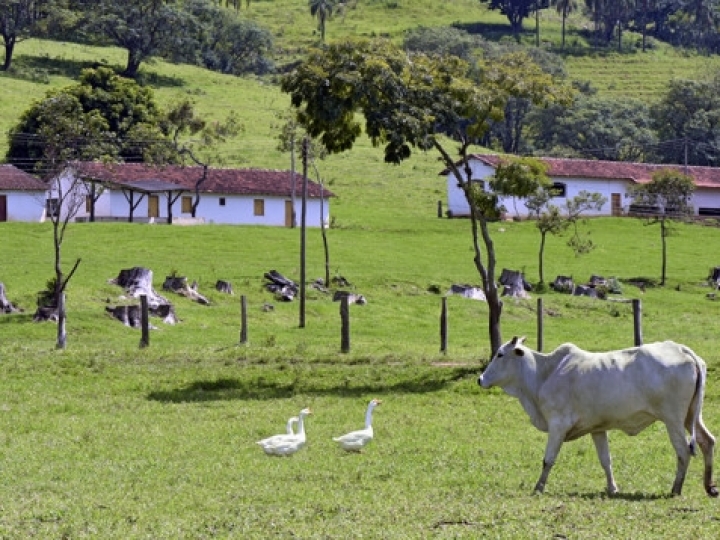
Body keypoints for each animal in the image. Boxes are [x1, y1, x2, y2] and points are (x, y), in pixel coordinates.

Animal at [476, 338, 716, 498]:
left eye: (500, 354)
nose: (480, 379)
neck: (544, 374)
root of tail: (683, 350)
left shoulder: (558, 425)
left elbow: (548, 459)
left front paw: (539, 487)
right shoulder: (597, 429)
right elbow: (606, 461)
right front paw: (613, 488)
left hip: (673, 419)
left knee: (683, 451)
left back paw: (675, 489)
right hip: (691, 416)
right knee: (707, 441)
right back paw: (710, 487)